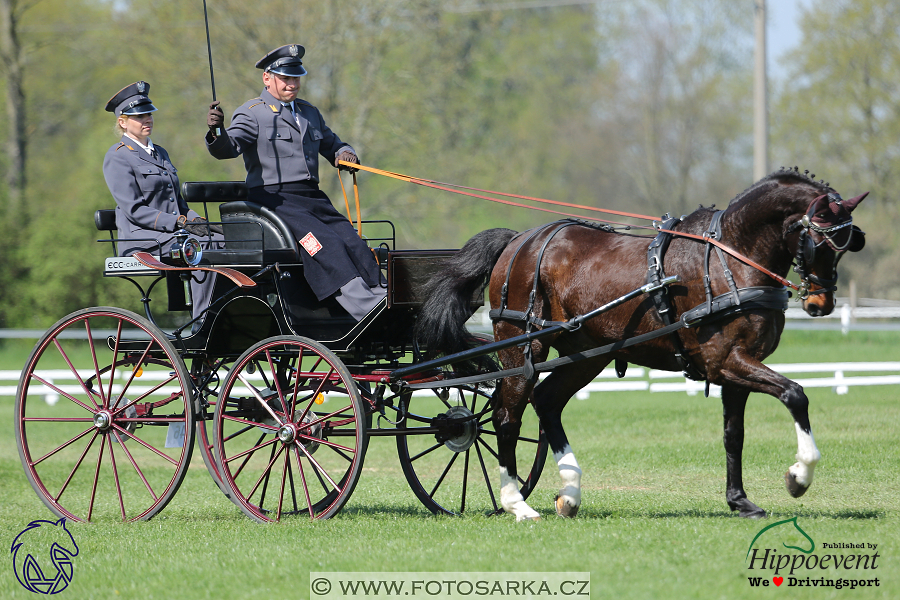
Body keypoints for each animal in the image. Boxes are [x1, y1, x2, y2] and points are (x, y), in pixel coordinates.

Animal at [414, 169, 864, 520]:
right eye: (818, 240)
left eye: (847, 243)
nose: (820, 303)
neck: (731, 259)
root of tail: (519, 240)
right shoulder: (727, 361)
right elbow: (796, 394)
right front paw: (799, 476)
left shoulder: (735, 367)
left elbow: (733, 435)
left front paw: (740, 501)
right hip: (521, 347)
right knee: (507, 416)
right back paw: (515, 502)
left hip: (585, 354)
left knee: (547, 401)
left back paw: (570, 493)